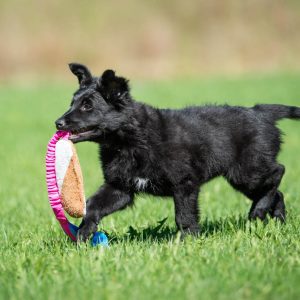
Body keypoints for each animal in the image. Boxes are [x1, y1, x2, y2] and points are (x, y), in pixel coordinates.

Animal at [55, 63, 298, 241]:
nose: (58, 123)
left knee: (278, 172)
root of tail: (260, 112)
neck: (130, 141)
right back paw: (276, 220)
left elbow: (184, 216)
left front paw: (187, 241)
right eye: (72, 103)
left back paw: (258, 211)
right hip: (244, 178)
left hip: (247, 171)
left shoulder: (185, 184)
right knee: (277, 192)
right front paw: (84, 235)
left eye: (87, 106)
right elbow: (92, 206)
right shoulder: (120, 187)